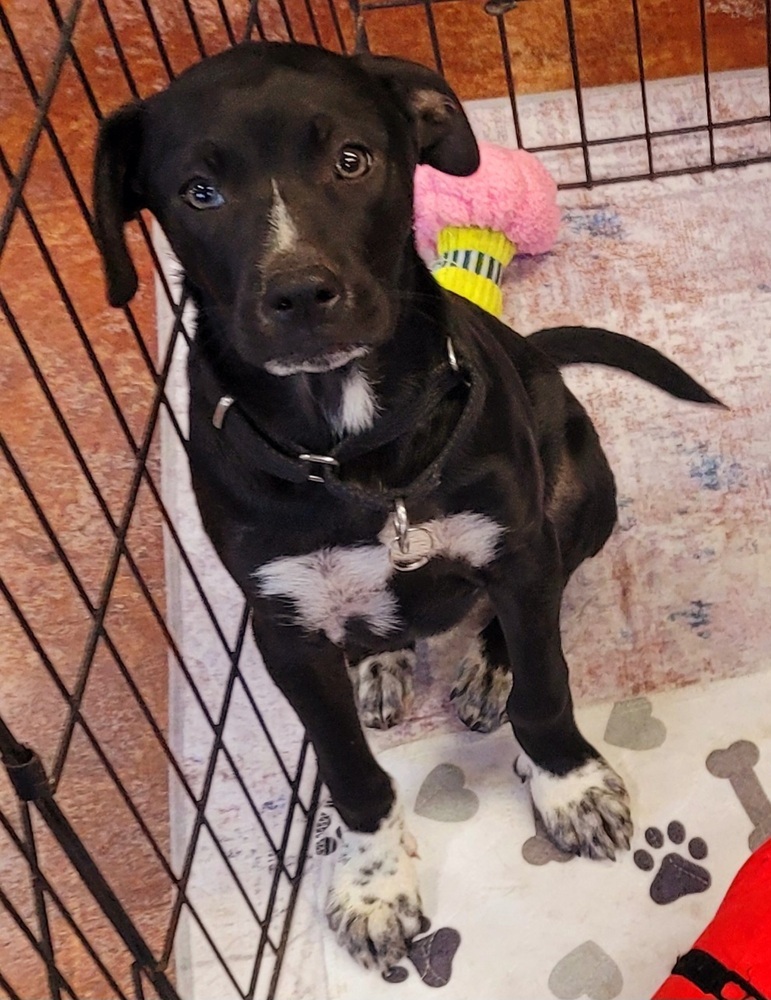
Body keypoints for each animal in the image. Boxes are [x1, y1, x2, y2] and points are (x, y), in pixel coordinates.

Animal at [92, 43, 724, 972]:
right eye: (198, 192)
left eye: (353, 160)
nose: (299, 294)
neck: (354, 452)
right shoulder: (283, 629)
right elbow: (348, 772)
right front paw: (373, 882)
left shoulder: (513, 550)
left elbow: (546, 684)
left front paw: (567, 785)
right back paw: (379, 661)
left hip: (579, 497)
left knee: (532, 603)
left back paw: (485, 666)